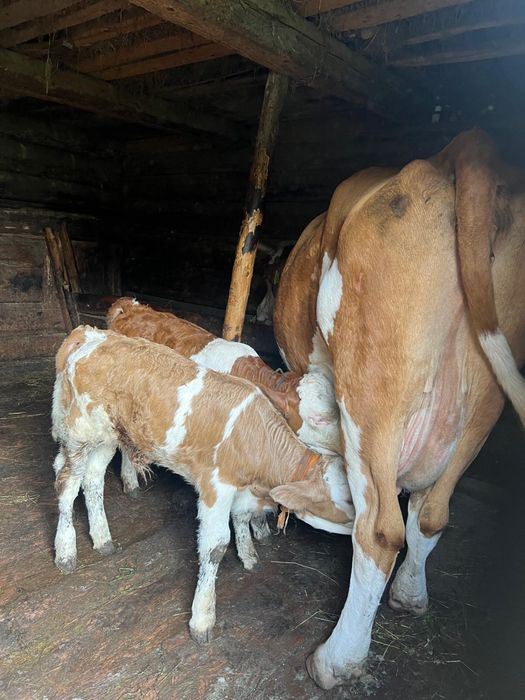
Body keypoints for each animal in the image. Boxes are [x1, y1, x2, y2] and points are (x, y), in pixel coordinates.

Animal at [51, 327, 354, 642]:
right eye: (347, 500)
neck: (257, 438)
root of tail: (91, 333)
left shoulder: (240, 489)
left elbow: (242, 517)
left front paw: (249, 555)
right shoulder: (215, 486)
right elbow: (215, 546)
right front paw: (203, 618)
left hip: (107, 436)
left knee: (93, 479)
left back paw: (102, 538)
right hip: (79, 432)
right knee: (67, 482)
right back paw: (66, 551)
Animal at [272, 129, 525, 688]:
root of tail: (459, 151)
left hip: (372, 388)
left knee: (380, 530)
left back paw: (336, 661)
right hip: (485, 397)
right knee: (431, 515)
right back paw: (410, 596)